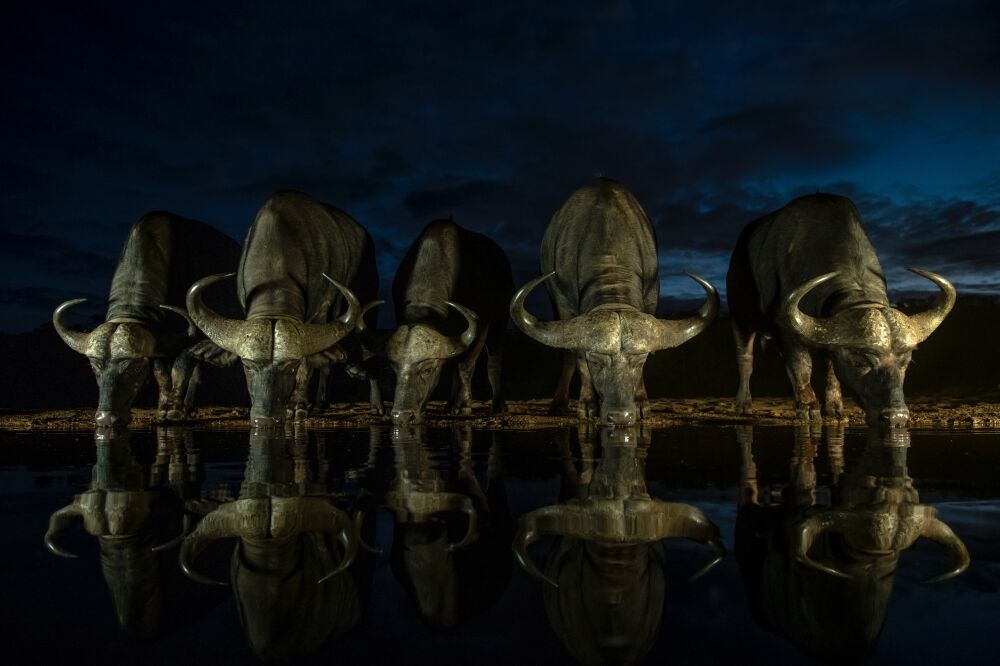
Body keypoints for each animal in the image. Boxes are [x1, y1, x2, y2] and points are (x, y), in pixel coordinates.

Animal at [53, 211, 242, 426]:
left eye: (135, 368)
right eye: (94, 368)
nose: (107, 418)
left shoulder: (187, 338)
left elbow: (180, 369)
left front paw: (173, 411)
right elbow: (160, 373)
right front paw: (163, 409)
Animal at [186, 189, 380, 422]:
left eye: (291, 367)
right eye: (247, 366)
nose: (266, 415)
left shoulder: (319, 314)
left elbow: (309, 363)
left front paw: (296, 406)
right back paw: (319, 406)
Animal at [386, 220, 512, 422]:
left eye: (428, 370)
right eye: (394, 370)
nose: (402, 416)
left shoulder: (482, 326)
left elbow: (465, 366)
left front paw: (464, 405)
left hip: (500, 321)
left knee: (494, 359)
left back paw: (498, 405)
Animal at [508, 176, 720, 426]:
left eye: (639, 361)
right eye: (596, 361)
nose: (620, 416)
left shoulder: (652, 294)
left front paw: (641, 404)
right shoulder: (564, 303)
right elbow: (576, 355)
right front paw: (587, 405)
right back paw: (559, 404)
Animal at [732, 192, 956, 422]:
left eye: (906, 361)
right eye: (860, 361)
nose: (896, 416)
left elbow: (831, 370)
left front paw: (834, 408)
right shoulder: (787, 333)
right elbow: (802, 368)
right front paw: (808, 408)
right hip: (739, 319)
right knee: (745, 359)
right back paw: (744, 404)